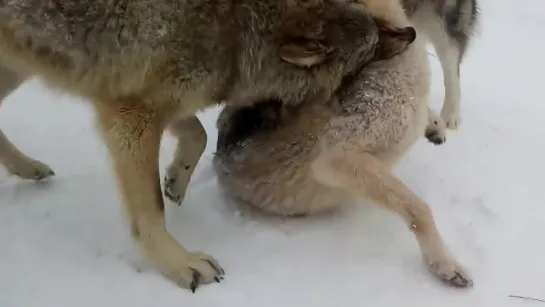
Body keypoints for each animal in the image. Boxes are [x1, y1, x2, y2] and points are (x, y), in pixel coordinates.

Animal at [0, 0, 402, 292]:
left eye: (376, 25)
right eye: (372, 45)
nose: (410, 32)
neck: (238, 33)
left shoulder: (161, 102)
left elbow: (198, 134)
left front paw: (176, 180)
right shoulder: (130, 114)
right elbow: (151, 210)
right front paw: (178, 263)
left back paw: (28, 168)